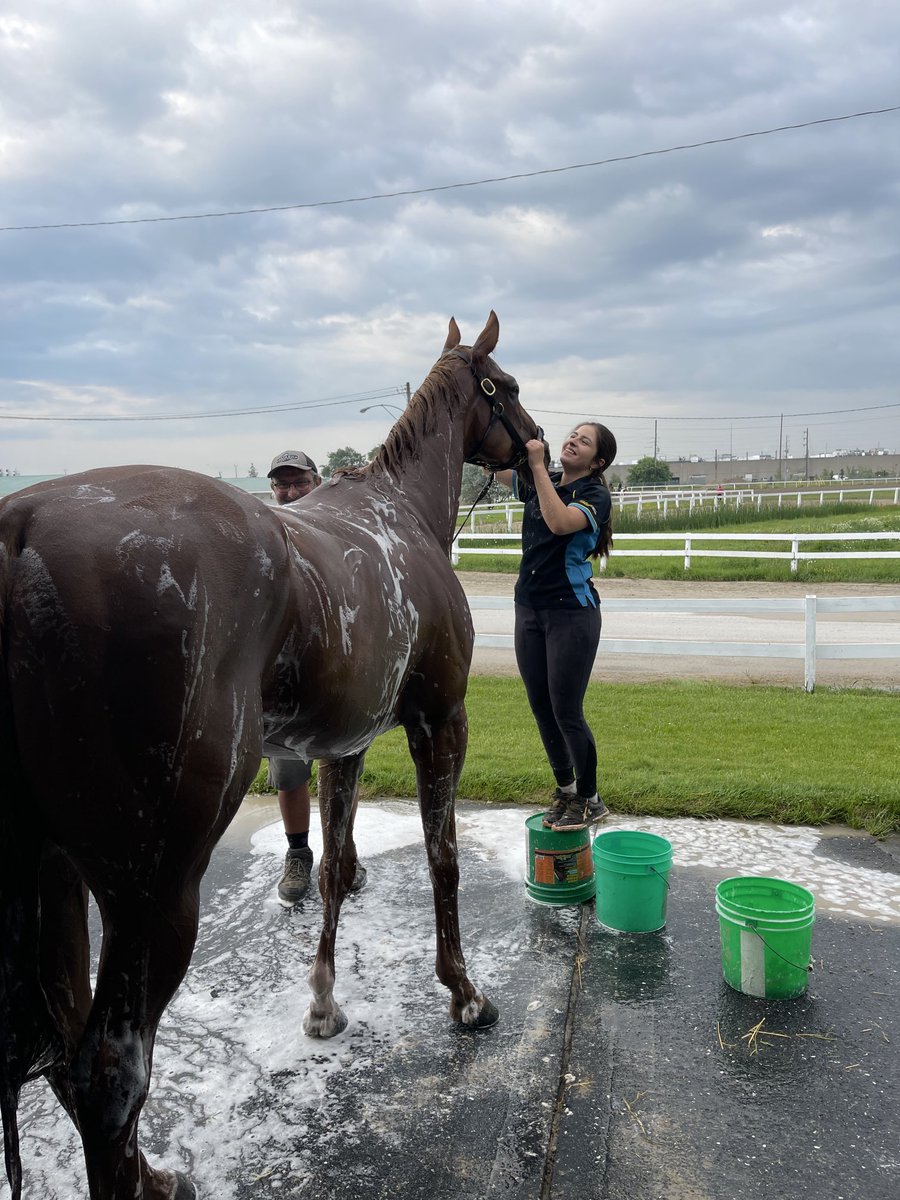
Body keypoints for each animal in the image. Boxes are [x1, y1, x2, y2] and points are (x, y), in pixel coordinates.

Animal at [0, 312, 542, 1200]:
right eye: (511, 387)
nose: (543, 453)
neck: (398, 518)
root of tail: (20, 534)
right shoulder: (440, 723)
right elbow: (443, 858)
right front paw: (463, 994)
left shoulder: (342, 747)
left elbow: (332, 872)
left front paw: (323, 1004)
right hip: (152, 892)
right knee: (110, 1071)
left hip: (53, 875)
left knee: (63, 1045)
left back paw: (152, 1176)